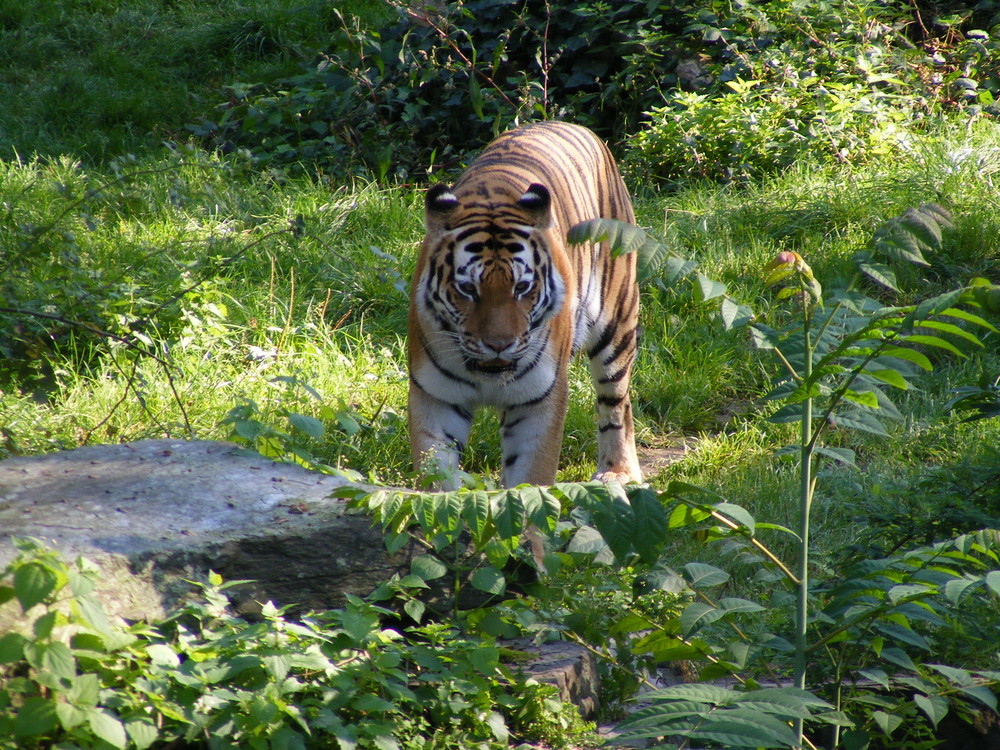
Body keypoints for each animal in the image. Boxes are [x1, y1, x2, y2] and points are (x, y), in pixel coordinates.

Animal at [406, 120, 640, 490]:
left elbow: (531, 478)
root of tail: (570, 124)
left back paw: (617, 472)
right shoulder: (435, 397)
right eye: (467, 289)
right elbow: (437, 475)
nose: (499, 345)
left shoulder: (538, 402)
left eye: (522, 287)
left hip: (616, 326)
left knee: (616, 403)